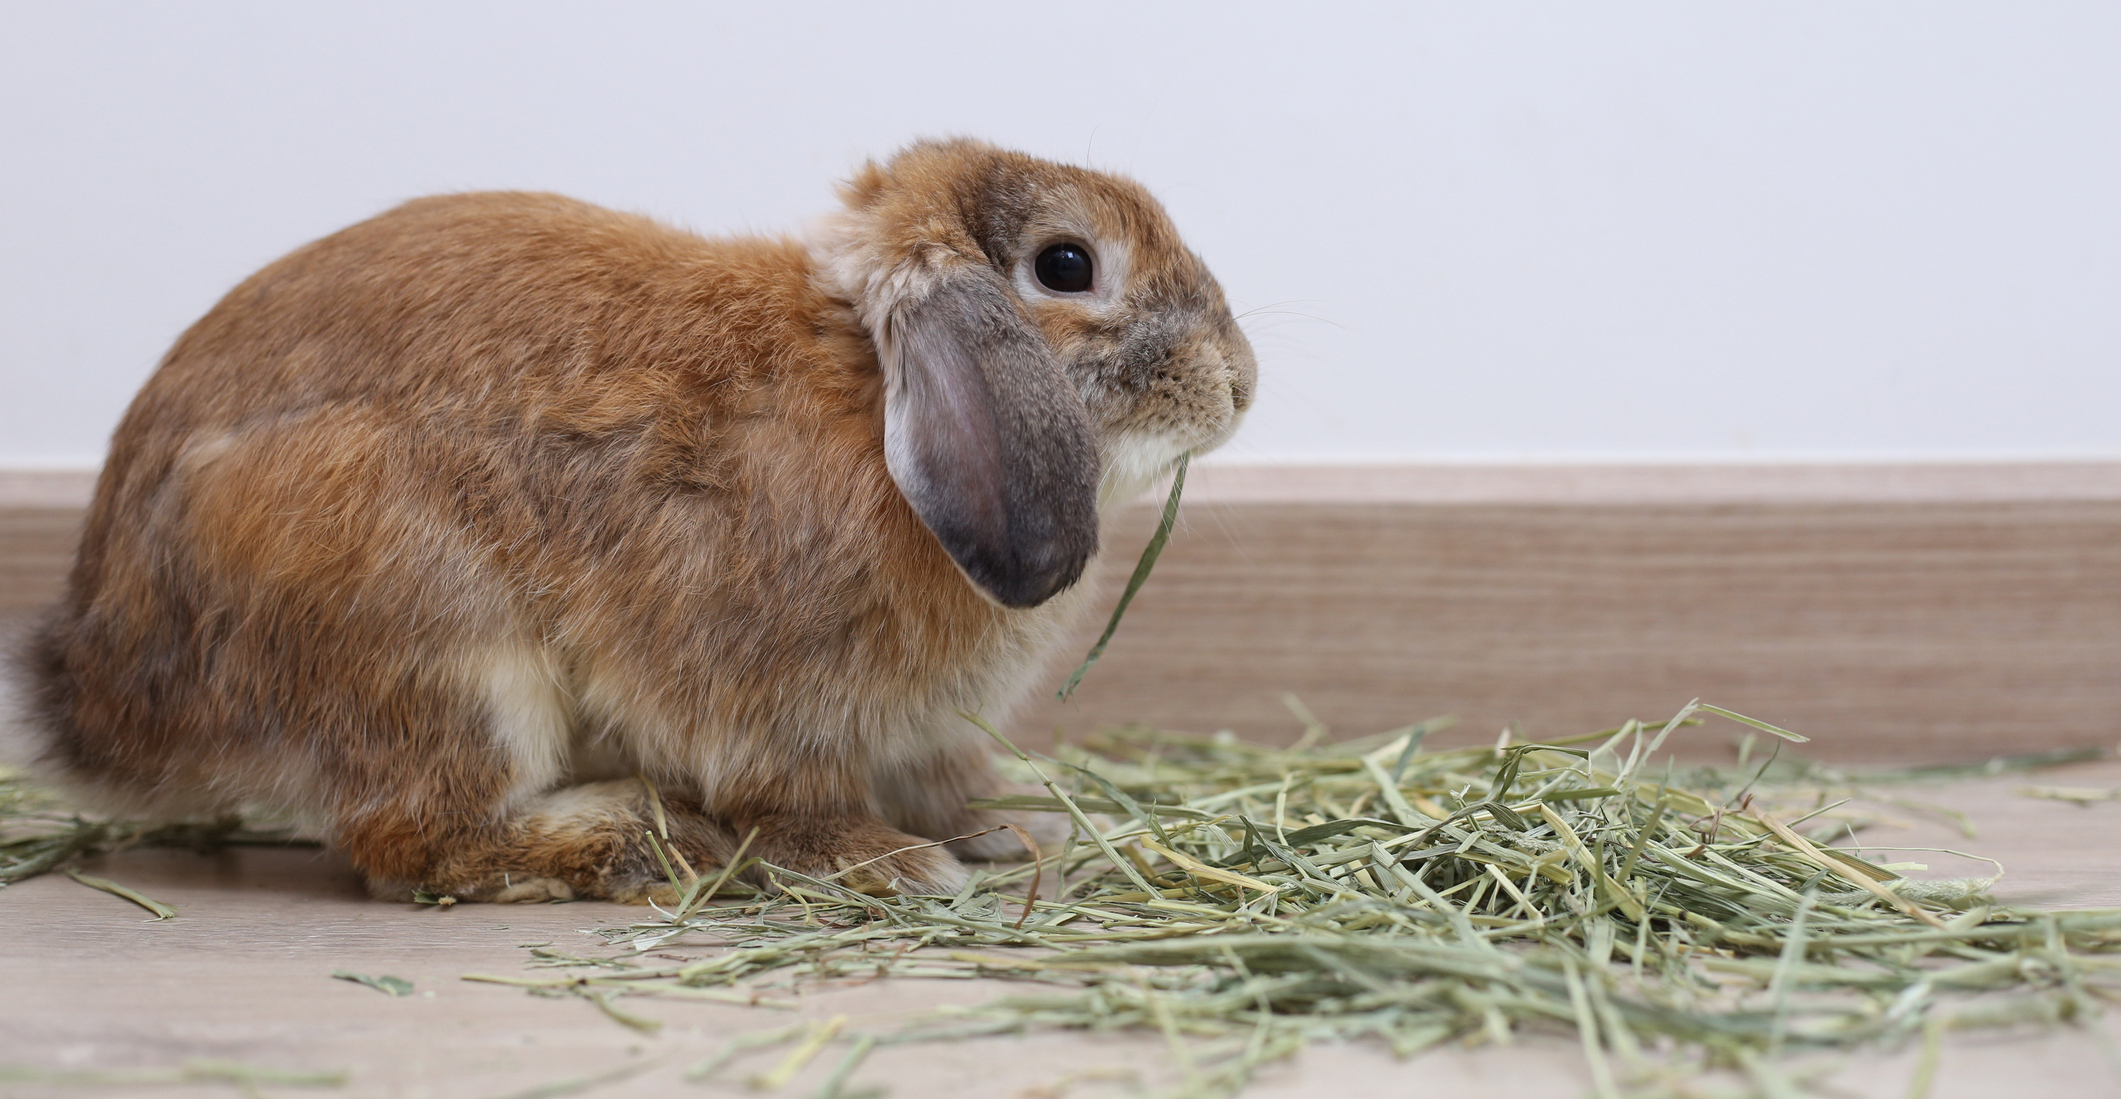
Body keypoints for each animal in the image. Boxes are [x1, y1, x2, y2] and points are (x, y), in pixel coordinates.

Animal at [9, 138, 1256, 904]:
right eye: (1066, 264)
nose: (1241, 382)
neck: (863, 388)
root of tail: (109, 686)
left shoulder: (912, 732)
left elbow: (944, 779)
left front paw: (1012, 830)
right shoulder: (771, 706)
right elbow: (792, 800)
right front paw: (891, 863)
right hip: (445, 647)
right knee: (412, 840)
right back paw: (635, 837)